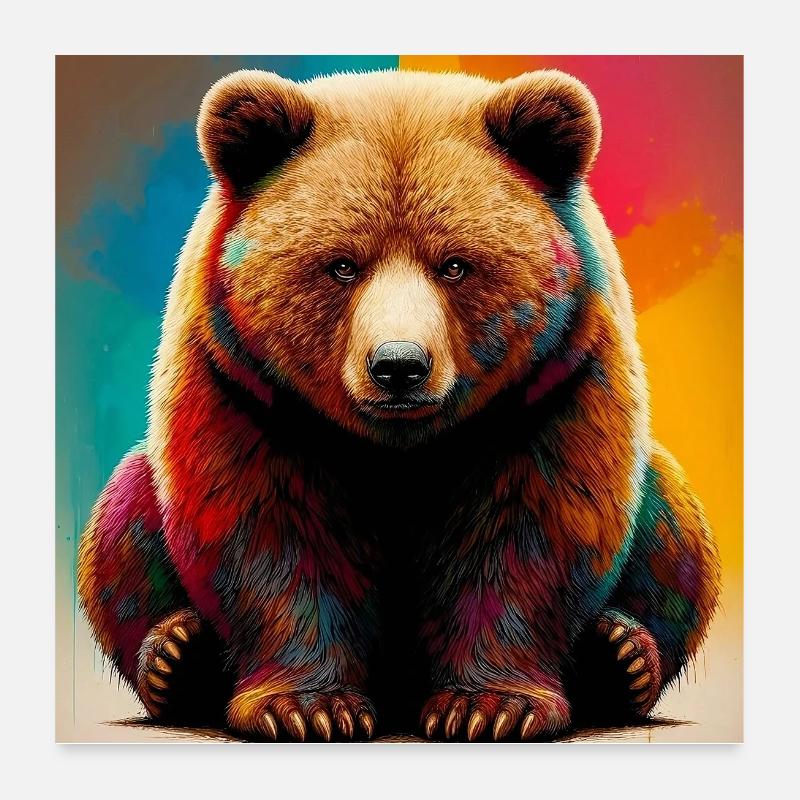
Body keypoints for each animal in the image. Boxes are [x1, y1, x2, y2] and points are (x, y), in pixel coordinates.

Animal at [77, 68, 721, 742]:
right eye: (342, 265)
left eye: (455, 264)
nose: (399, 365)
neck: (400, 447)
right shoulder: (244, 387)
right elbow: (269, 529)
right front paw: (309, 706)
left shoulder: (554, 383)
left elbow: (529, 529)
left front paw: (488, 705)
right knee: (121, 517)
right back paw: (176, 656)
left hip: (661, 510)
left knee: (675, 525)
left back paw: (621, 655)